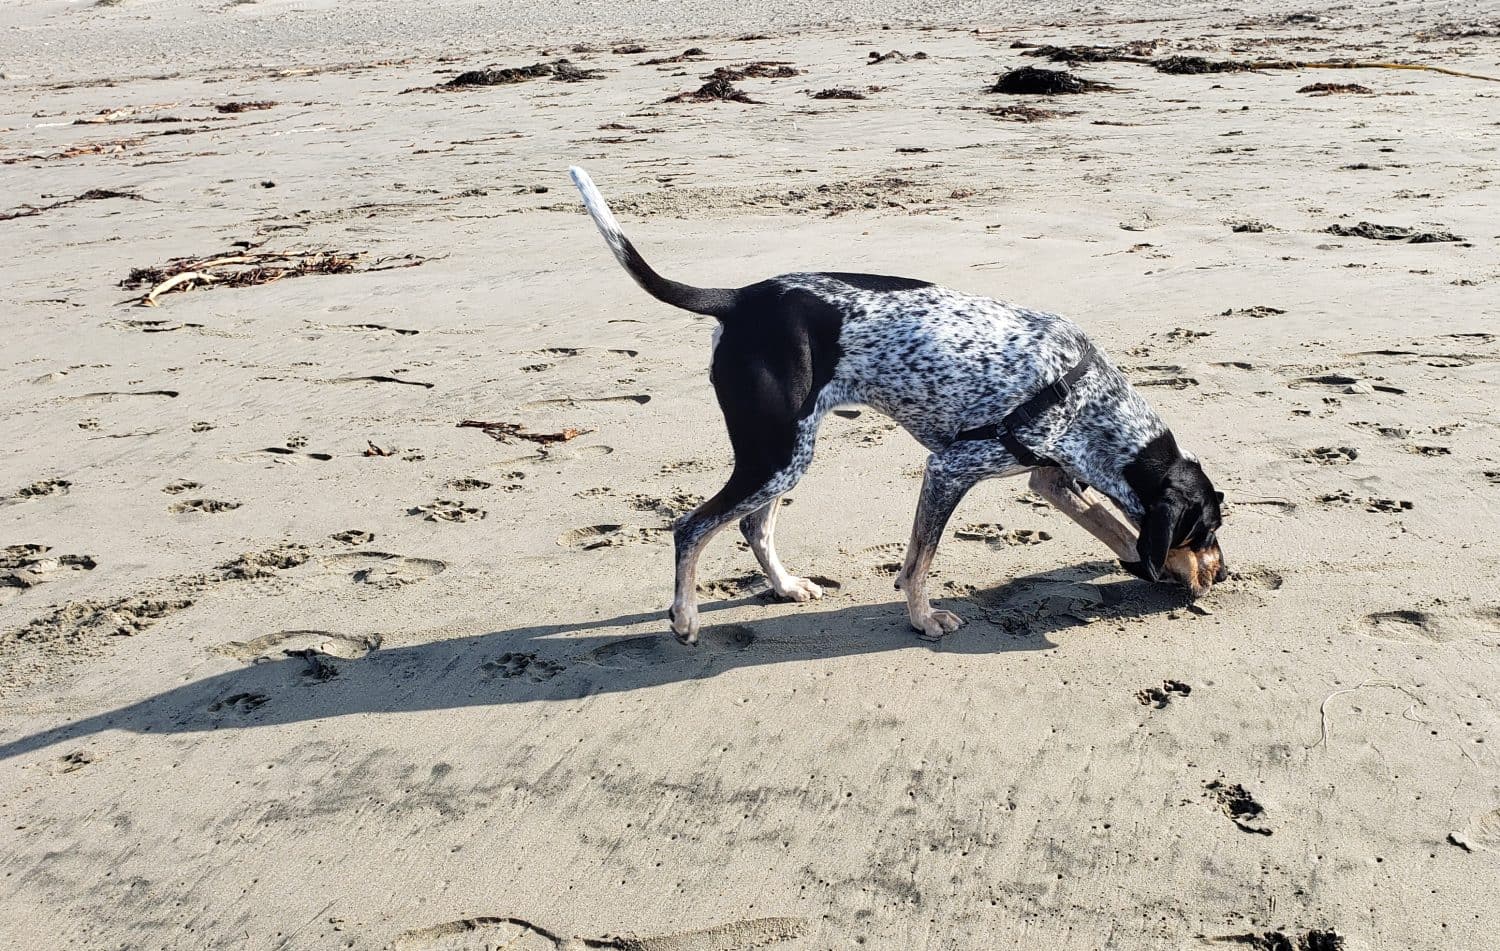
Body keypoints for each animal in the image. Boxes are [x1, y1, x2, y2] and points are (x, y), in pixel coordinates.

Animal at [567, 166, 1224, 642]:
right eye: (1209, 529)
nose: (1224, 573)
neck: (1083, 392)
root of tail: (738, 300)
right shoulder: (949, 469)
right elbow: (918, 562)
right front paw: (923, 618)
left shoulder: (1053, 480)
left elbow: (1117, 530)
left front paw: (1147, 564)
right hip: (776, 456)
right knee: (691, 527)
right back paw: (684, 618)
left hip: (785, 454)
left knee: (753, 523)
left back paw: (784, 586)